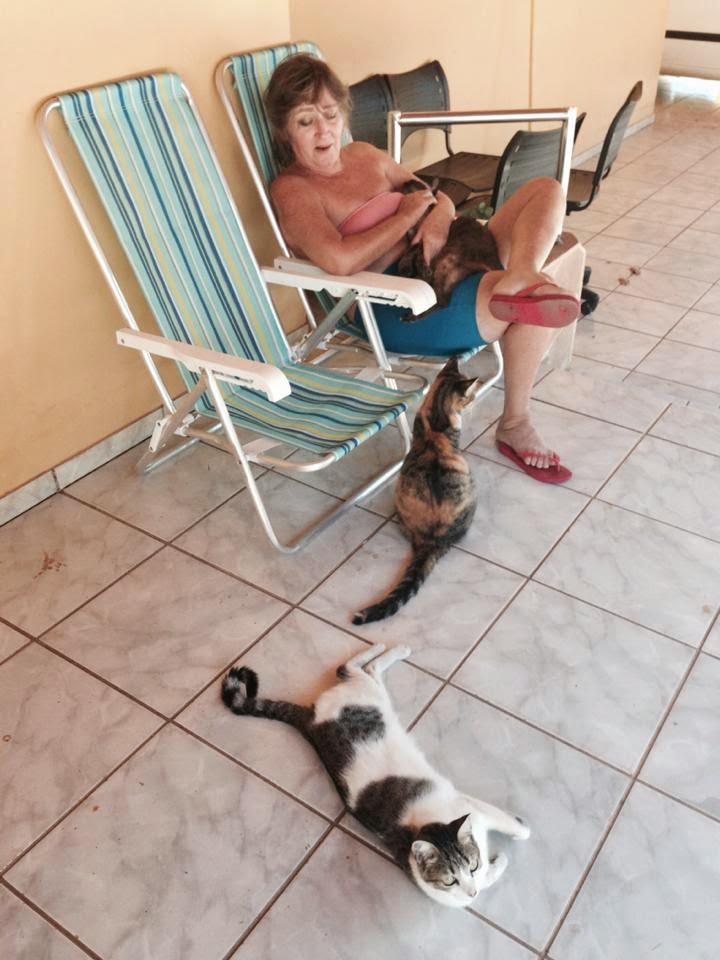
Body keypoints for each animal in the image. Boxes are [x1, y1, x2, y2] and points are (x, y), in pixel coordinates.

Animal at [221, 642, 530, 907]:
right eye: (449, 881)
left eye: (471, 865)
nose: (471, 891)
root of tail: (311, 721)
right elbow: (491, 870)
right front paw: (505, 854)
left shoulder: (472, 809)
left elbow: (508, 829)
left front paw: (518, 833)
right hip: (367, 692)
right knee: (356, 669)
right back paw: (393, 650)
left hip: (369, 693)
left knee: (351, 669)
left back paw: (390, 649)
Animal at [396, 180, 504, 322]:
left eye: (417, 185)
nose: (406, 181)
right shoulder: (414, 241)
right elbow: (409, 253)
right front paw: (406, 268)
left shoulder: (424, 240)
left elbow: (417, 253)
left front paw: (410, 268)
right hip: (447, 272)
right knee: (442, 299)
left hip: (451, 257)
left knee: (440, 296)